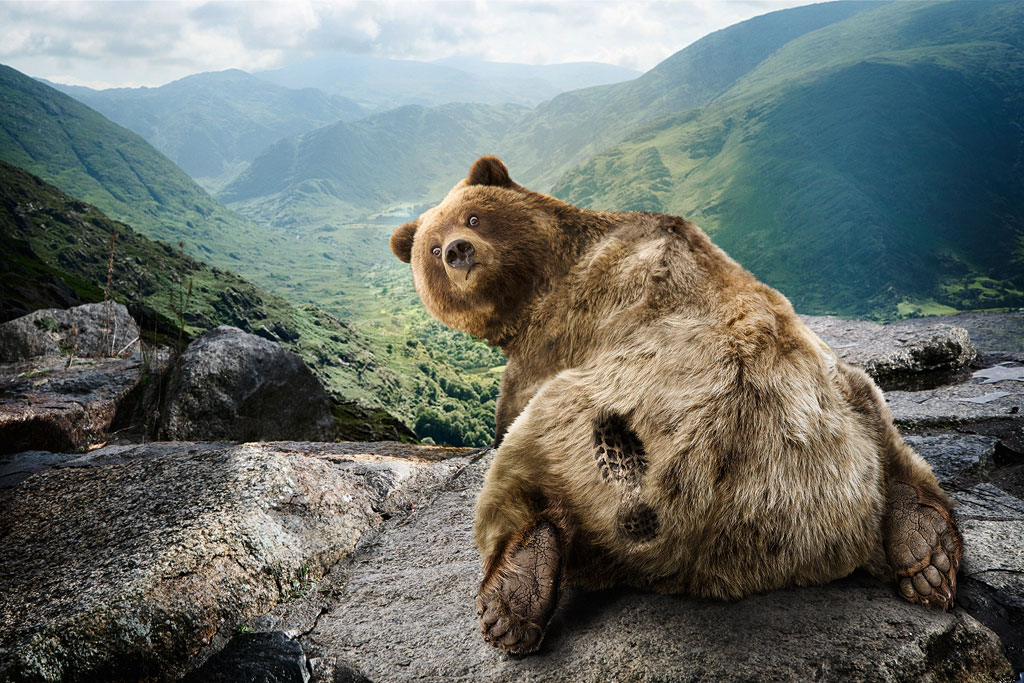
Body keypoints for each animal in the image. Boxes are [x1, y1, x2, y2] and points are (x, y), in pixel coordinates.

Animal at [387, 154, 962, 655]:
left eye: (473, 216)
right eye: (431, 249)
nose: (458, 251)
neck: (542, 277)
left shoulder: (558, 334)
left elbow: (509, 413)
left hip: (599, 424)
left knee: (525, 461)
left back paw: (514, 594)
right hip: (834, 409)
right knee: (882, 425)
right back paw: (925, 550)